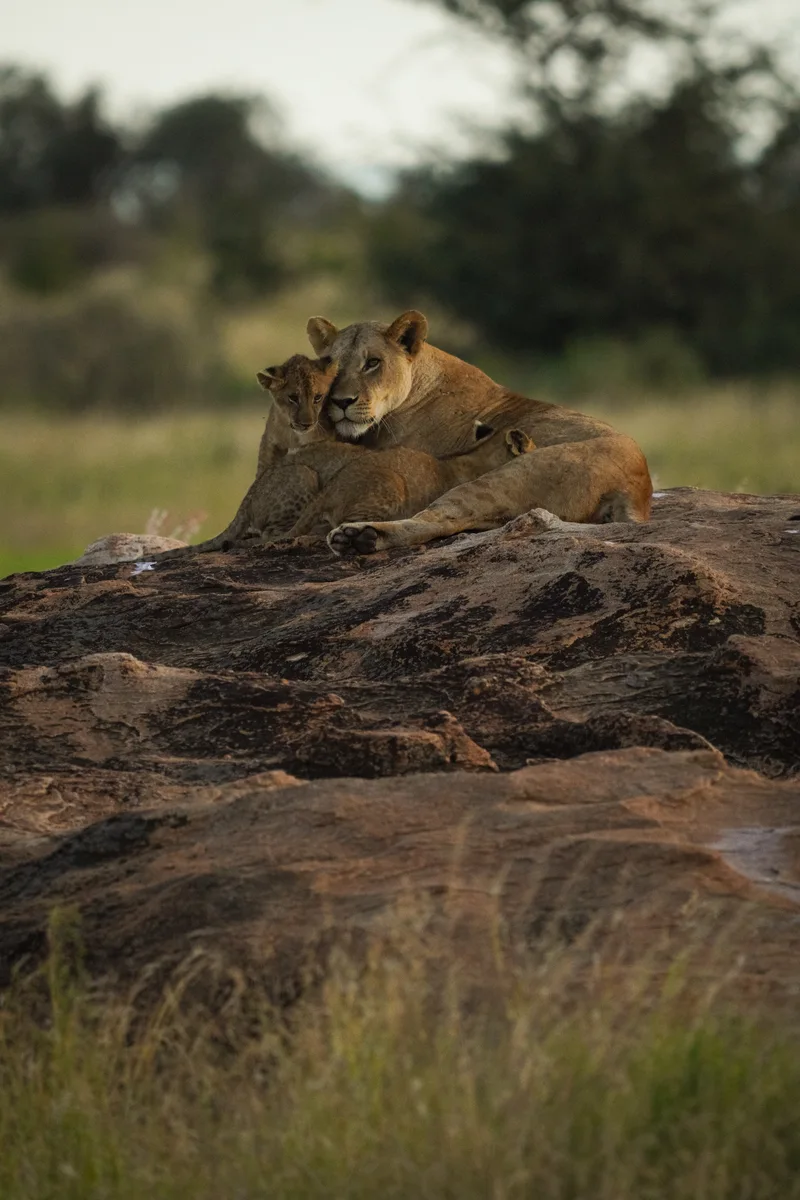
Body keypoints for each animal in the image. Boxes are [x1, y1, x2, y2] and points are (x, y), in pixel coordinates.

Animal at [297, 310, 652, 555]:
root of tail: (638, 488)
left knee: (435, 520)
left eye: (373, 362)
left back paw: (358, 536)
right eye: (329, 364)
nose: (341, 402)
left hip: (496, 481)